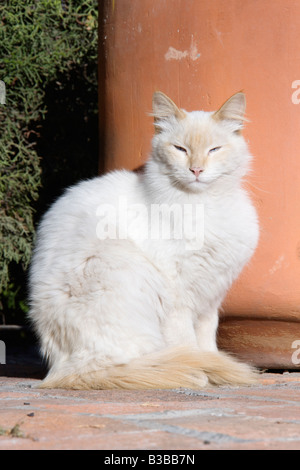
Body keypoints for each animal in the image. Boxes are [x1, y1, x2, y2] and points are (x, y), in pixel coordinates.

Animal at [28, 92, 260, 390]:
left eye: (214, 150)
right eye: (180, 149)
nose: (196, 170)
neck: (204, 204)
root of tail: (62, 371)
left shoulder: (210, 298)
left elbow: (207, 342)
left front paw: (214, 371)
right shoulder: (179, 298)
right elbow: (188, 343)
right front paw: (205, 374)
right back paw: (190, 373)